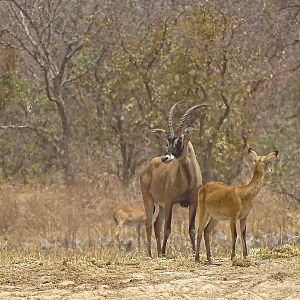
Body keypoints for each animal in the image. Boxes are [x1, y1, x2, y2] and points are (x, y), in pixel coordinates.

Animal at [139, 102, 210, 256]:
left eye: (180, 140)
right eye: (167, 142)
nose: (165, 158)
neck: (188, 180)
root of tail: (148, 166)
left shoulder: (193, 203)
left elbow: (191, 229)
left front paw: (194, 252)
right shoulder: (170, 202)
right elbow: (168, 228)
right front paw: (164, 253)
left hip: (161, 205)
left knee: (156, 224)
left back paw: (158, 252)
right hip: (149, 200)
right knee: (149, 224)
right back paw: (151, 254)